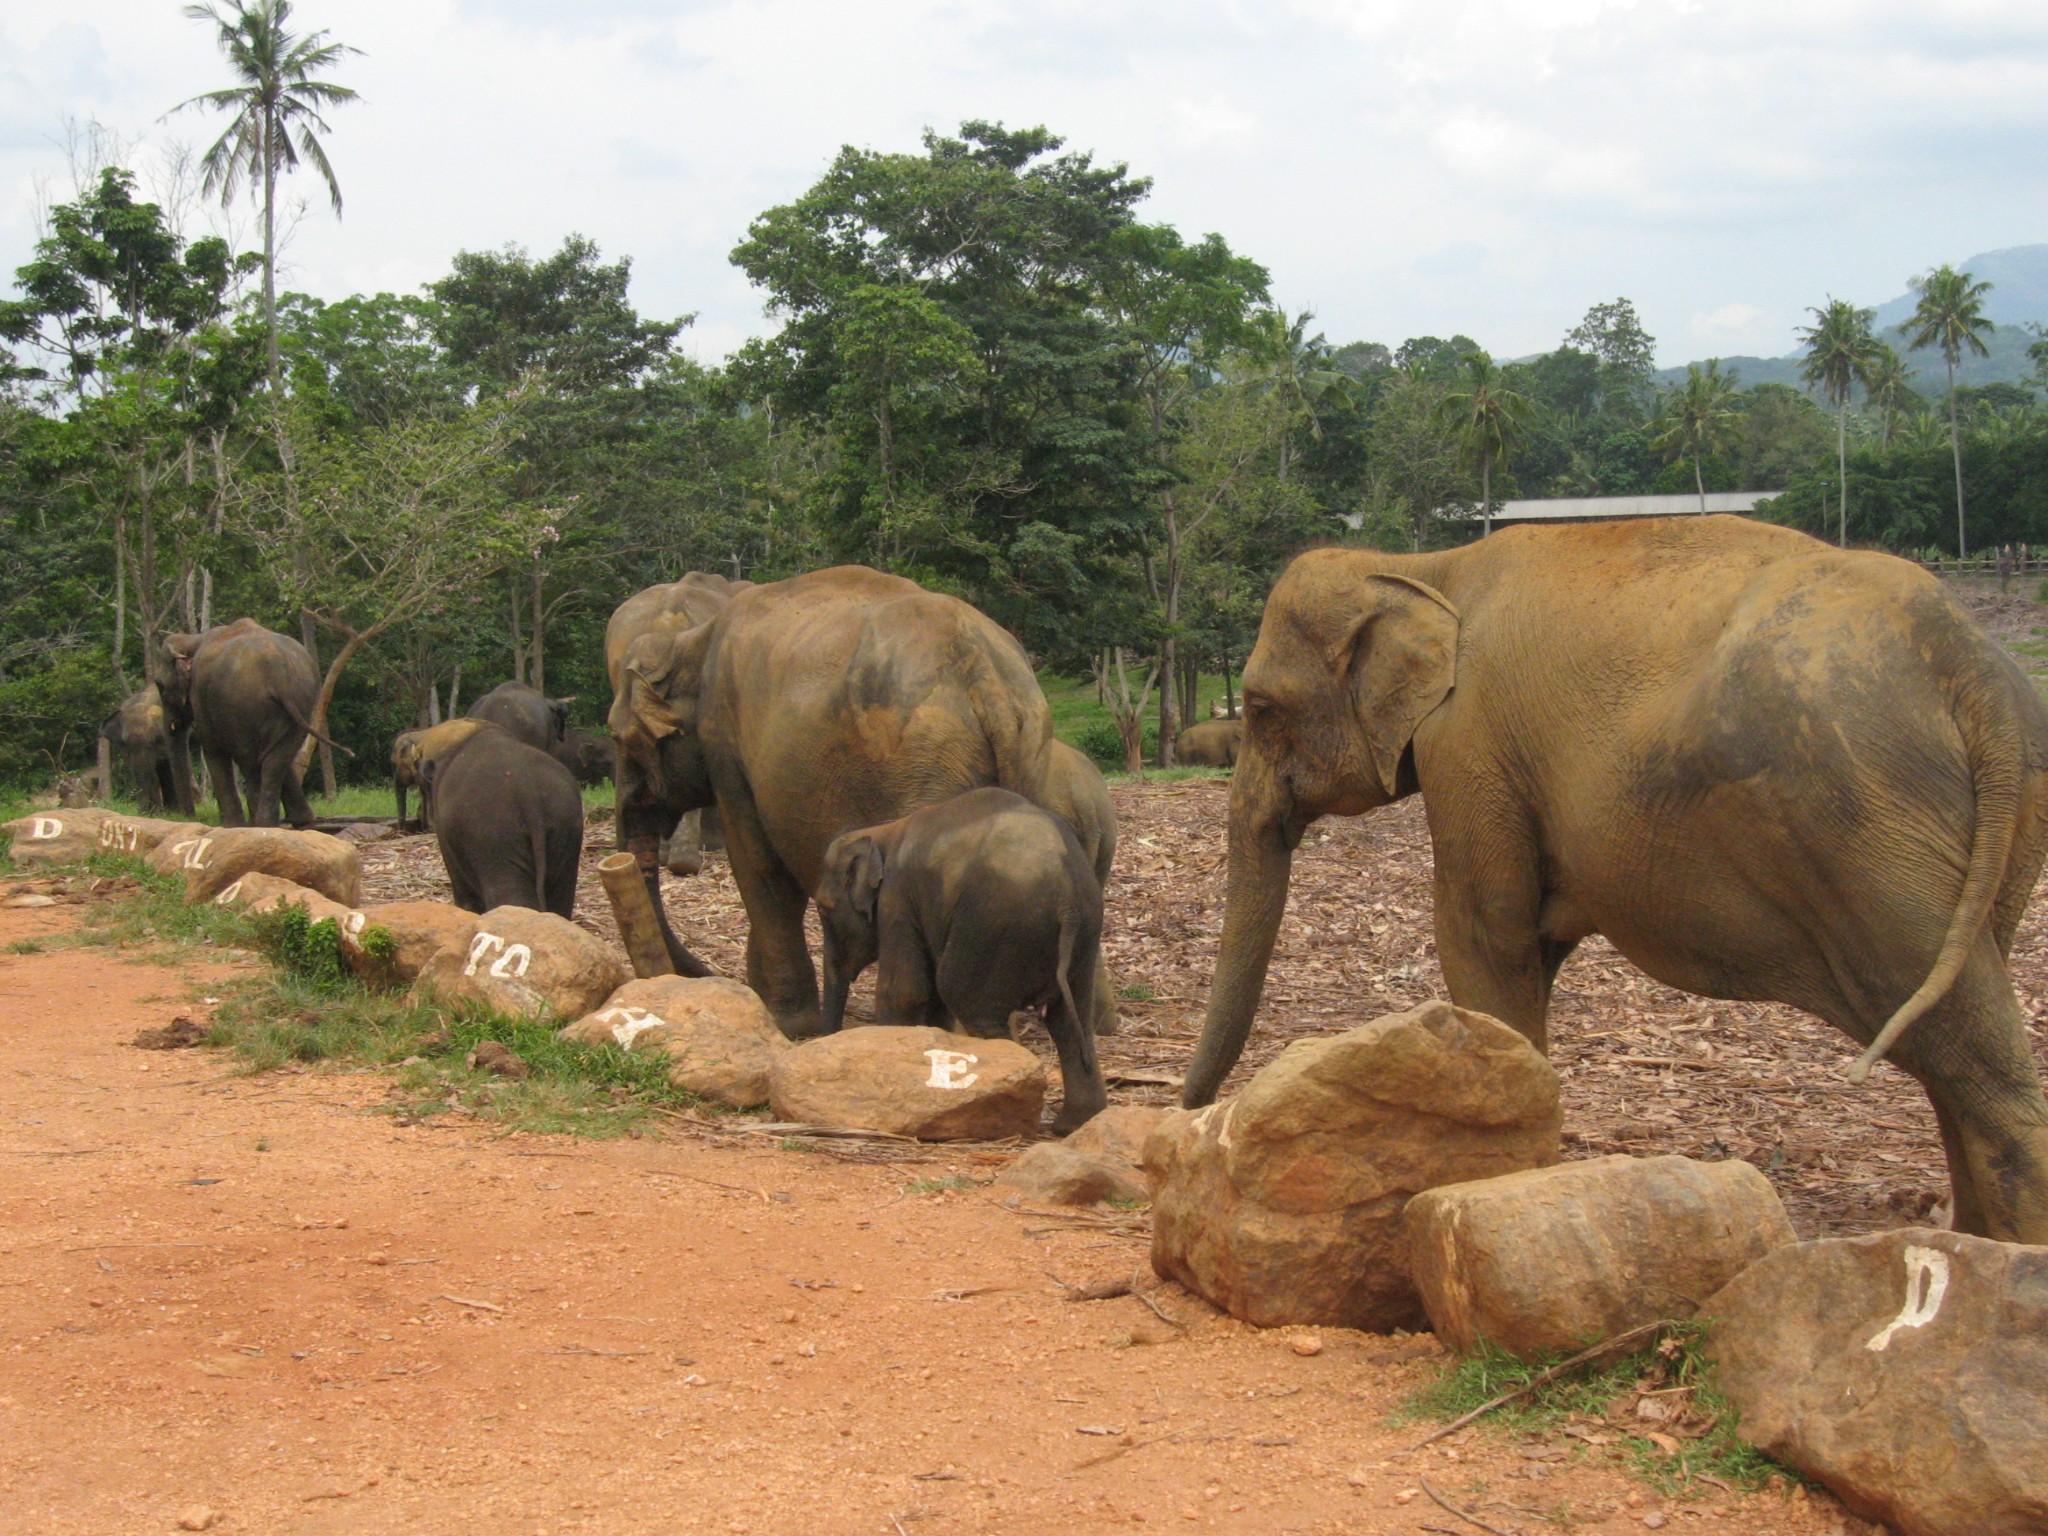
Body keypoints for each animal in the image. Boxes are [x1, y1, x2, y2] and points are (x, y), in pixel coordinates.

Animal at [153, 618, 333, 831]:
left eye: (160, 687)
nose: (189, 816)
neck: (192, 639)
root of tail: (278, 673)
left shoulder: (200, 698)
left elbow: (212, 750)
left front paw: (231, 826)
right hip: (300, 702)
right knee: (276, 758)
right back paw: (285, 822)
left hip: (241, 706)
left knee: (249, 759)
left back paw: (258, 824)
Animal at [606, 561, 1056, 1036]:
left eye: (617, 736)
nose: (707, 972)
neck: (691, 641)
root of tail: (987, 677)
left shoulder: (726, 745)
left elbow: (758, 867)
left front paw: (789, 1024)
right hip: (1028, 756)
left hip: (928, 769)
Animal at [811, 794, 1105, 1130]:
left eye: (823, 908)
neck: (881, 831)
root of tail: (1067, 896)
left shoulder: (897, 895)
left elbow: (904, 990)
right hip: (1084, 932)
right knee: (1071, 1018)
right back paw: (1074, 1124)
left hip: (995, 929)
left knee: (968, 1000)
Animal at [1179, 524, 2048, 1245]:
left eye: (1261, 708)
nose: (1182, 1117)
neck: (1427, 568)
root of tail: (1976, 671)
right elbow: (1537, 944)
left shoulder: (1470, 743)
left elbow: (1484, 936)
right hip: (1993, 825)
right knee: (1955, 1034)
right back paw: (1977, 1246)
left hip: (1866, 827)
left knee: (1972, 1056)